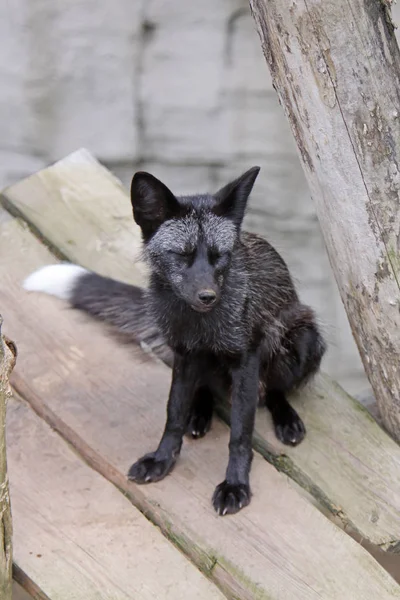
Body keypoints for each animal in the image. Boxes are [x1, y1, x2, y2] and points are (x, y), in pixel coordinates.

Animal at [24, 168, 324, 516]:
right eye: (182, 255)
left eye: (220, 256)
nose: (208, 296)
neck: (199, 325)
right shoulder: (184, 354)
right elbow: (173, 413)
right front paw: (162, 459)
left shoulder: (245, 360)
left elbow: (240, 434)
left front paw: (235, 484)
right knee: (205, 389)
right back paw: (200, 412)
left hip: (303, 340)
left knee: (274, 390)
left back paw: (285, 418)